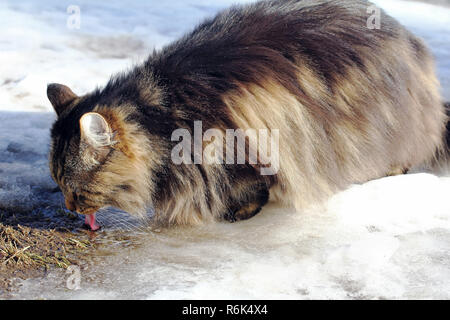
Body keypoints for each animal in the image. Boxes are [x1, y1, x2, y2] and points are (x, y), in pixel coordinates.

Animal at [47, 0, 448, 230]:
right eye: (59, 184)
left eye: (77, 189)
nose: (69, 206)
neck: (161, 114)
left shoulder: (242, 142)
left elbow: (249, 184)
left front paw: (238, 211)